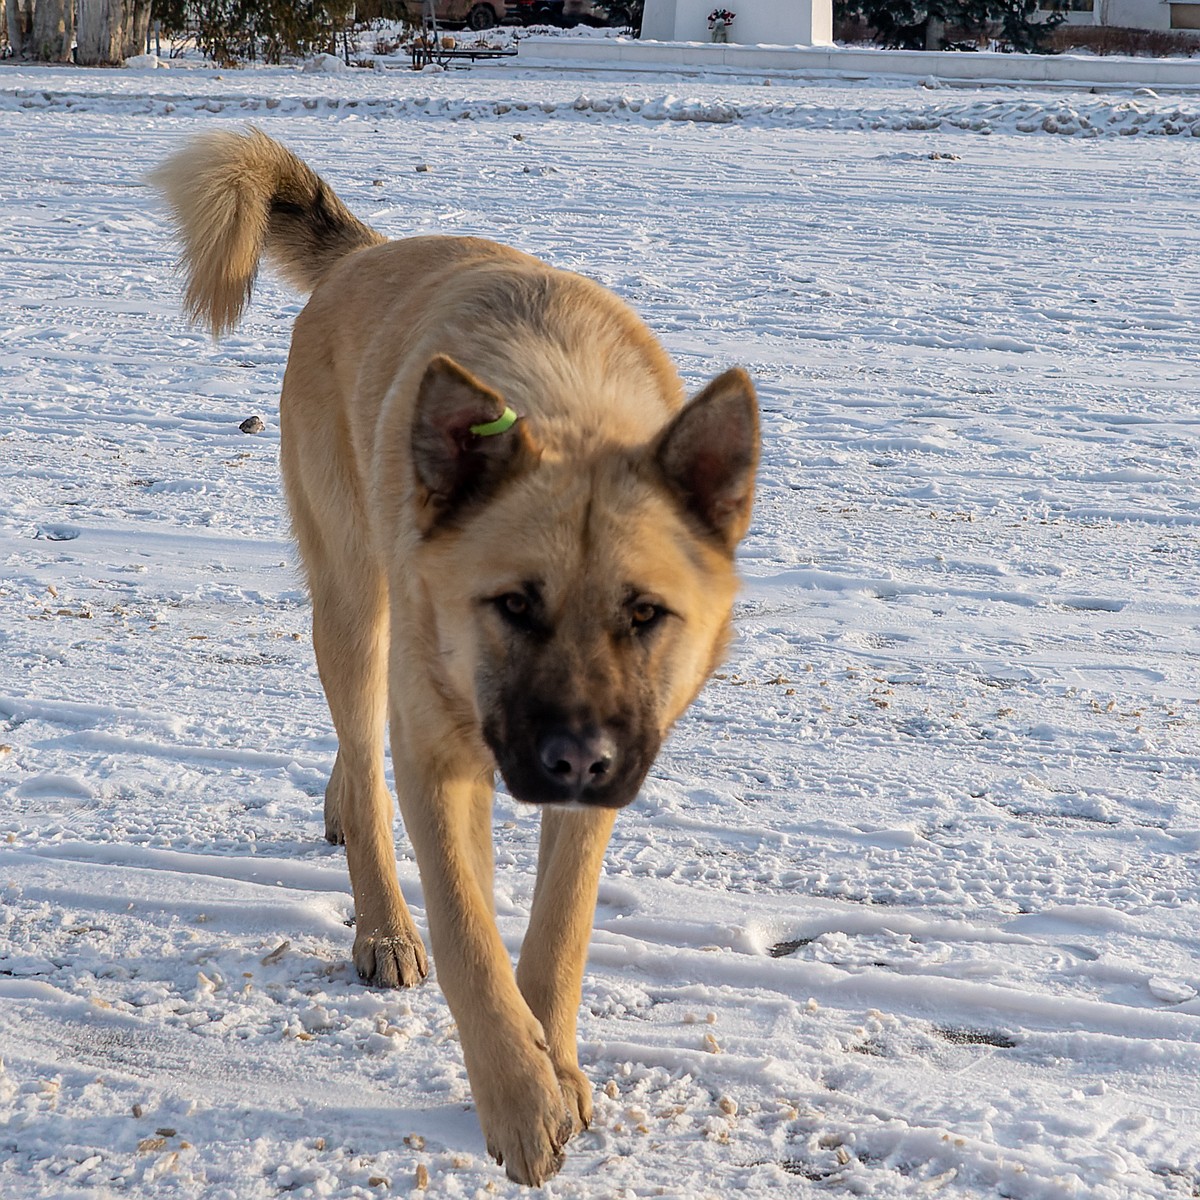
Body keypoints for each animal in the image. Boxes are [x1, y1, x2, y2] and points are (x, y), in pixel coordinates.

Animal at [147, 129, 748, 1180]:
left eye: (645, 614)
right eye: (512, 604)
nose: (575, 761)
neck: (565, 411)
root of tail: (367, 255)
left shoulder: (603, 771)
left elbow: (558, 934)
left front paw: (557, 1065)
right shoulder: (437, 751)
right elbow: (471, 941)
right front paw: (518, 1099)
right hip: (355, 606)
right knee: (364, 759)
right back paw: (383, 919)